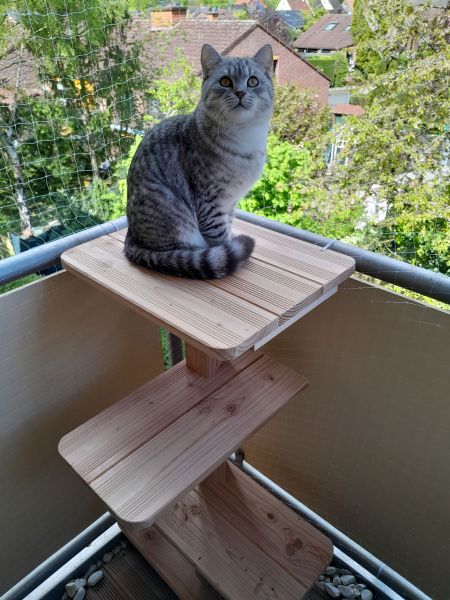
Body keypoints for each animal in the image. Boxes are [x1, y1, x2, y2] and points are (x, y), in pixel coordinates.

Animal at [125, 43, 276, 278]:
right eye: (225, 81)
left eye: (253, 81)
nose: (240, 92)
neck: (244, 137)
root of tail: (131, 237)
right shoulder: (210, 201)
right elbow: (219, 238)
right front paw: (228, 251)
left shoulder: (230, 203)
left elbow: (228, 226)